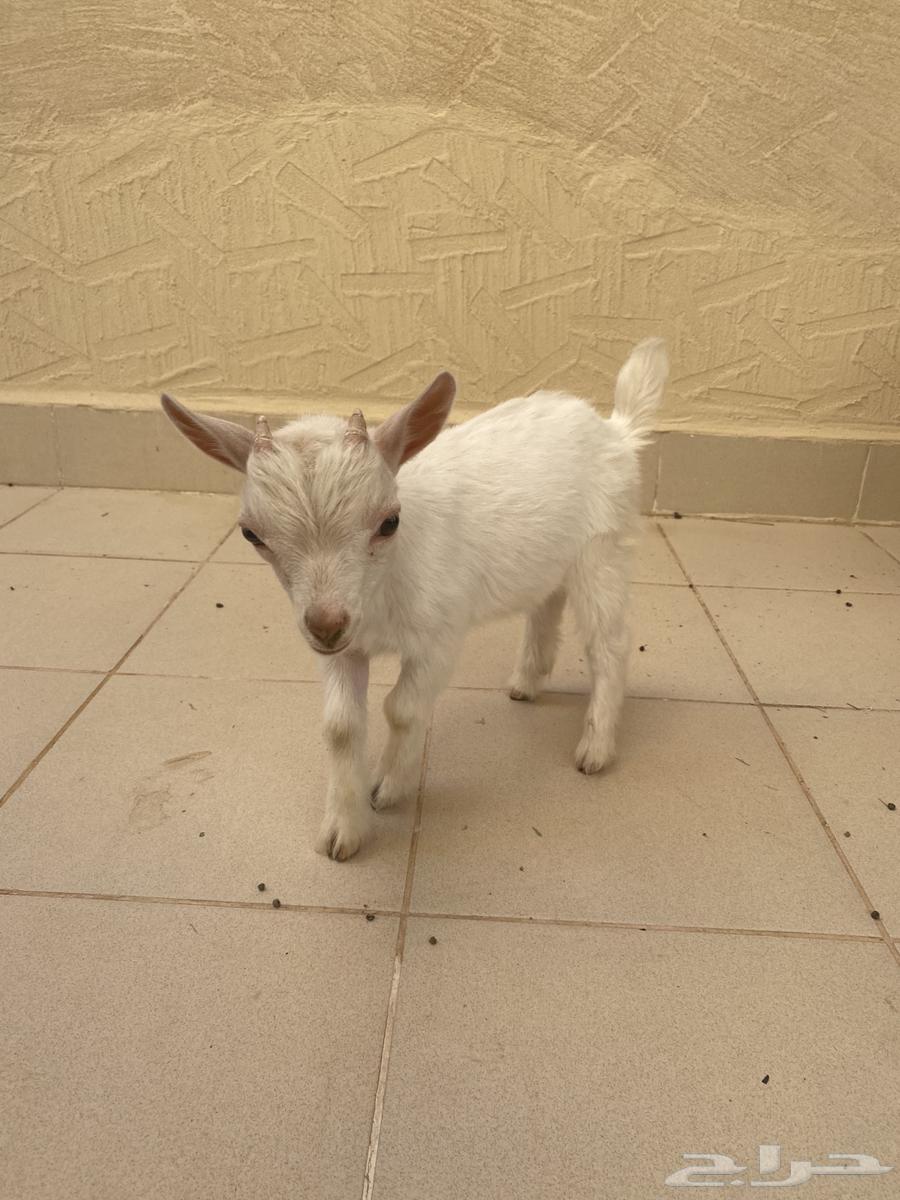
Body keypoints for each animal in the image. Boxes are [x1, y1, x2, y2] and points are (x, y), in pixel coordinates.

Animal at [161, 337, 668, 861]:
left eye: (389, 522)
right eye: (250, 534)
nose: (326, 625)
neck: (382, 594)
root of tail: (616, 430)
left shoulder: (439, 636)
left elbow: (402, 708)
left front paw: (387, 788)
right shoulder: (343, 649)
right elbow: (340, 727)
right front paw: (343, 831)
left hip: (602, 549)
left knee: (609, 644)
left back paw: (596, 749)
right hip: (550, 559)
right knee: (546, 604)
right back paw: (527, 682)